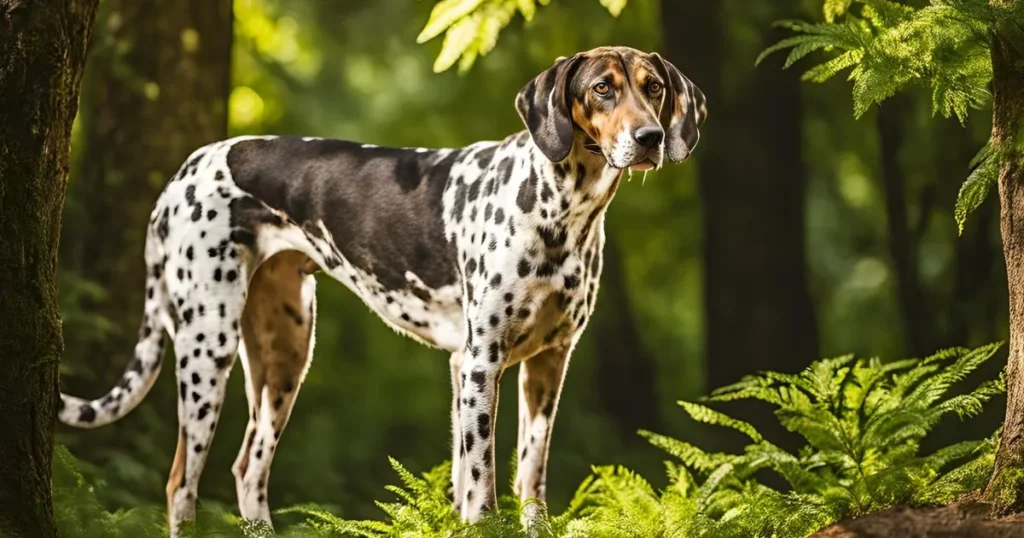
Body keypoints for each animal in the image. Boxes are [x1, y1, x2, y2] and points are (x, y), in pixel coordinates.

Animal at [59, 46, 708, 532]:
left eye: (654, 87)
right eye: (601, 89)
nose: (650, 137)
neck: (562, 207)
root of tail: (181, 173)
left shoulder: (545, 363)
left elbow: (526, 478)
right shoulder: (480, 362)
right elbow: (481, 489)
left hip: (287, 355)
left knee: (248, 469)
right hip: (206, 348)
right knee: (180, 484)